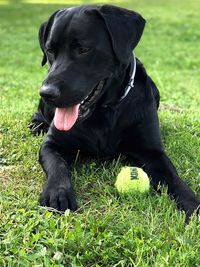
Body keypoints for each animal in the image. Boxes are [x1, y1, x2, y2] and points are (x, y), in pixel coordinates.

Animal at [30, 4, 200, 218]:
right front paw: (57, 192)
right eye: (50, 50)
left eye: (83, 49)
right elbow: (57, 165)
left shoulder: (152, 152)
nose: (46, 92)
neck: (104, 112)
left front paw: (192, 204)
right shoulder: (51, 144)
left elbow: (173, 177)